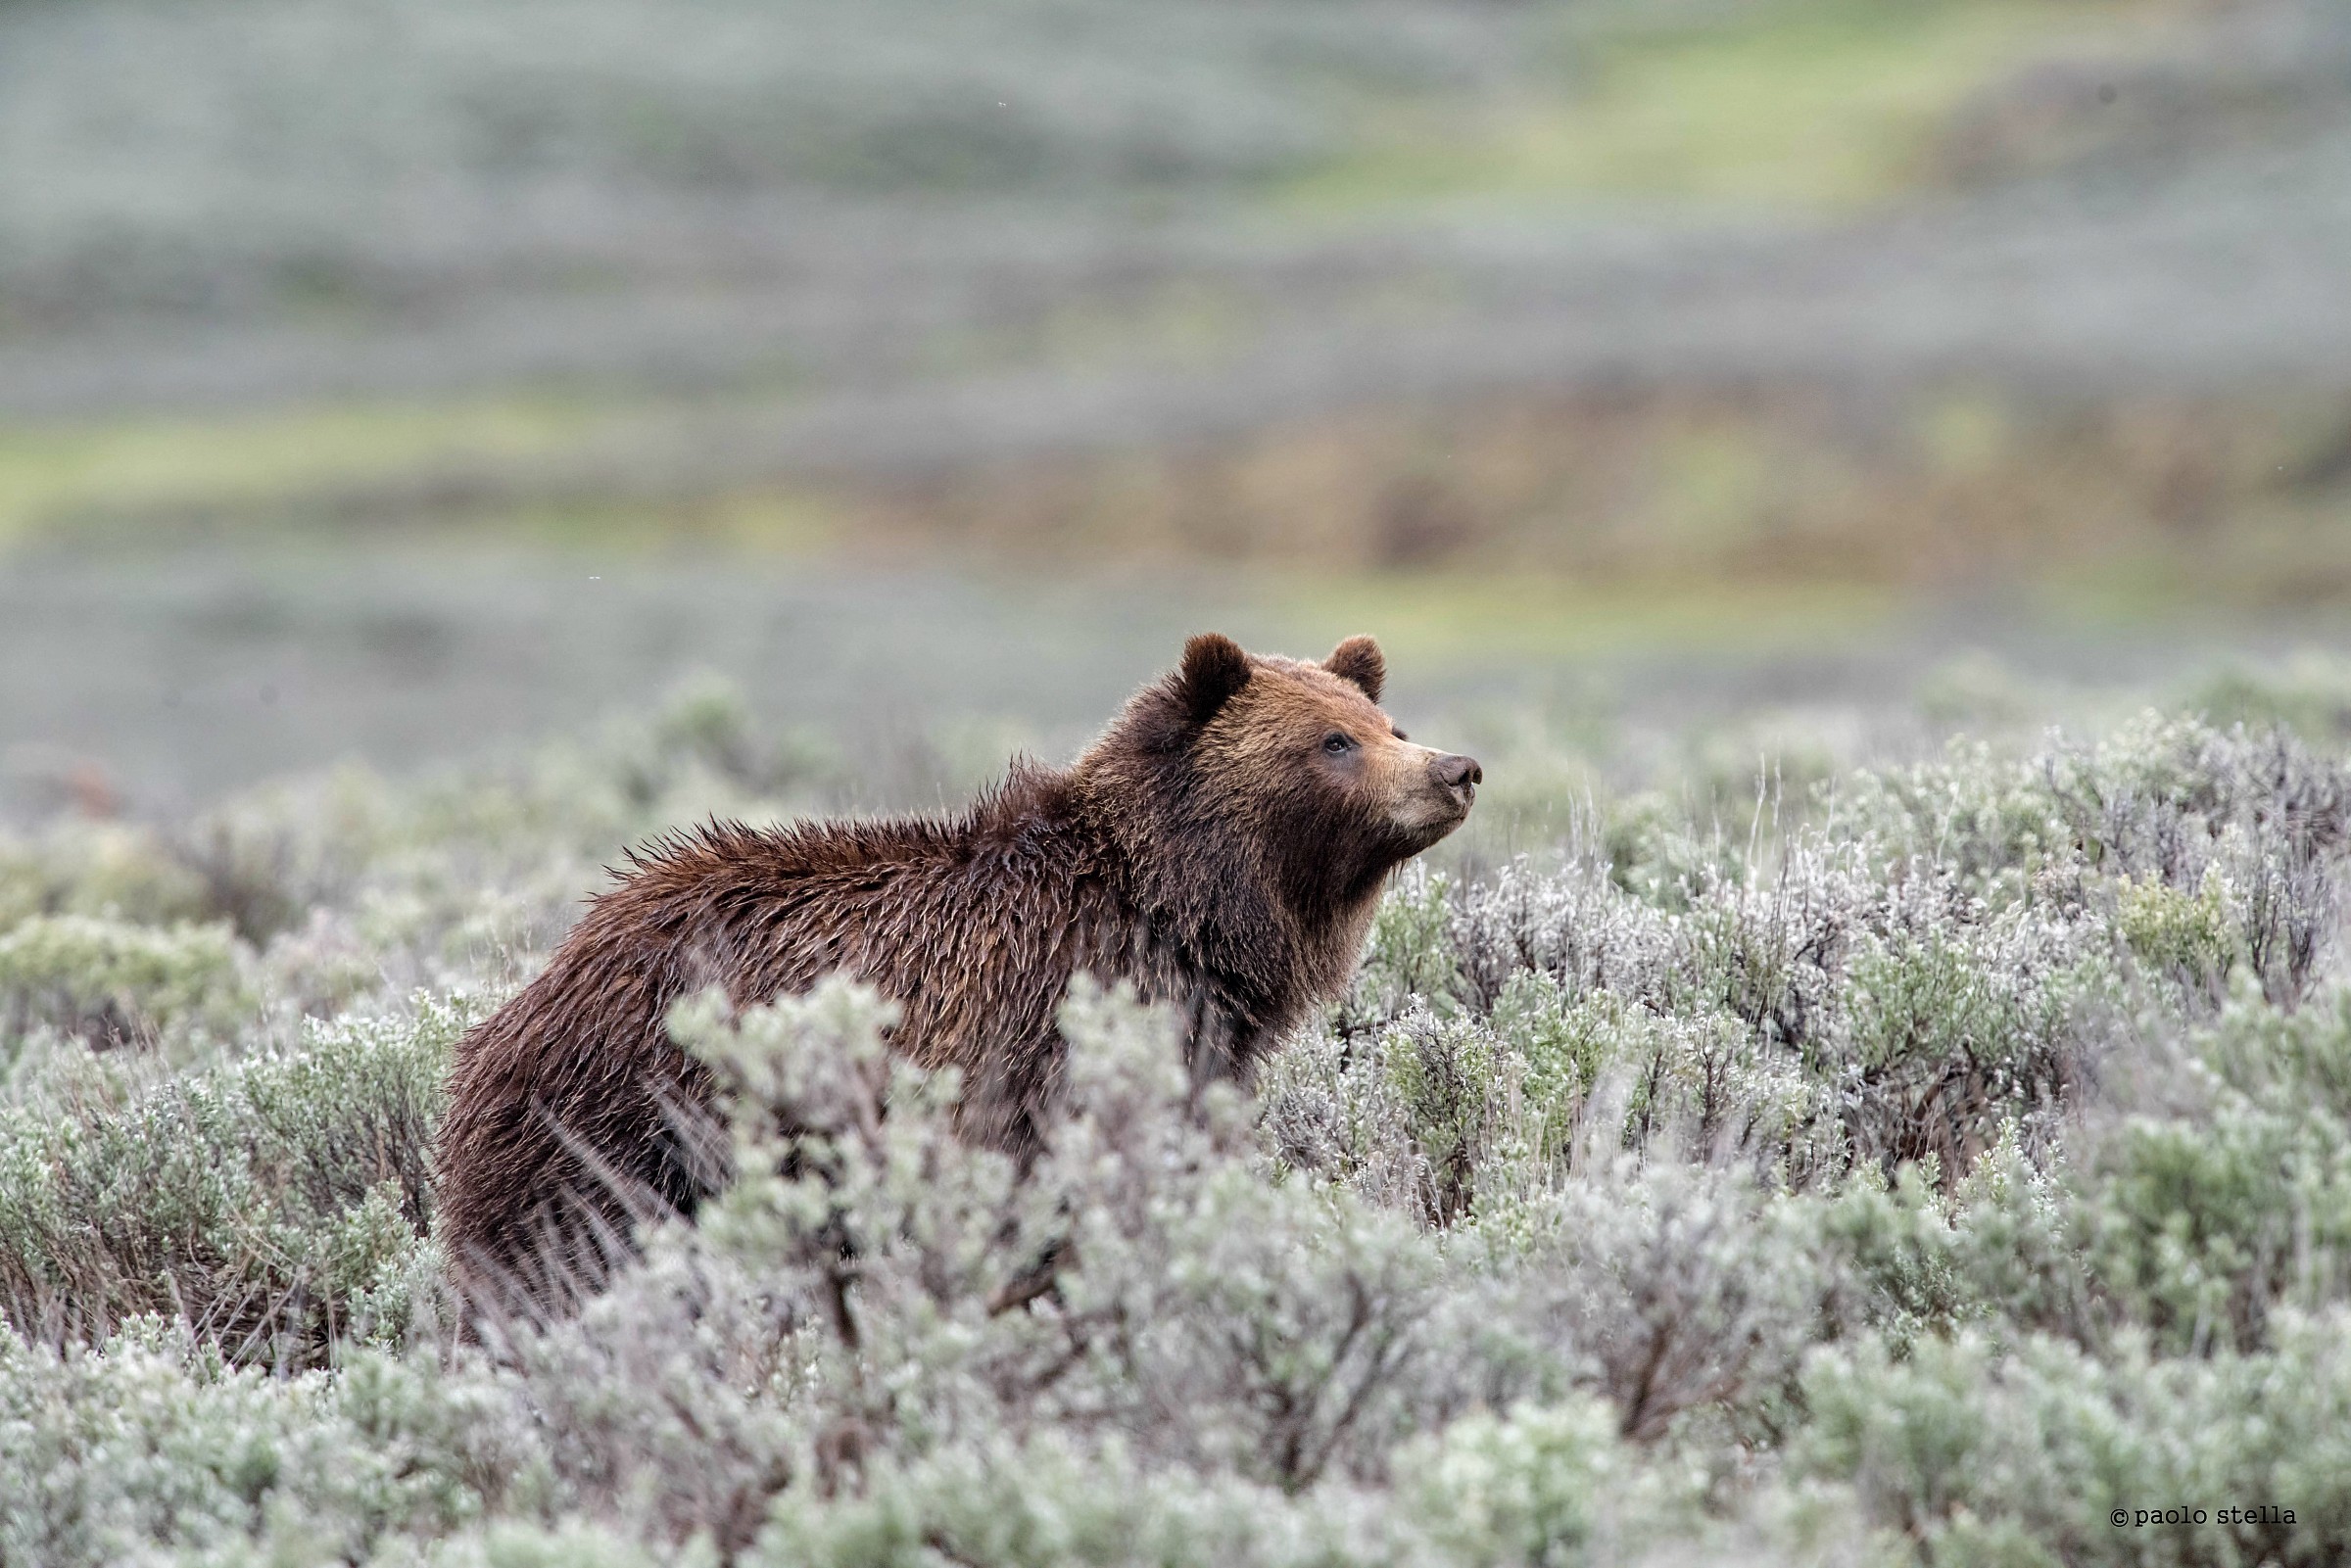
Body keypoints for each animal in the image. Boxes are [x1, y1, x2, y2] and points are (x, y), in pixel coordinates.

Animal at [433, 632, 1481, 1308]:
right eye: (1333, 741)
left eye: (1386, 722)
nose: (1456, 768)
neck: (1184, 917)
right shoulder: (1041, 1027)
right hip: (622, 1123)